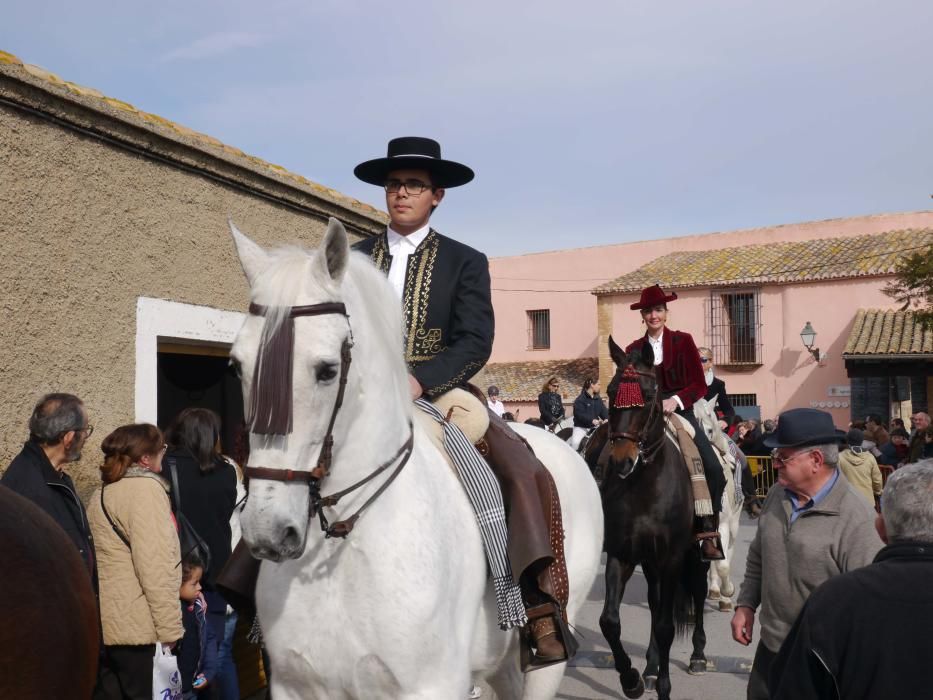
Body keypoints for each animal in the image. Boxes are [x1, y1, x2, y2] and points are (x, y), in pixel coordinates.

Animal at [229, 220, 600, 700]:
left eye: (327, 369)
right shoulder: (295, 685)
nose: (268, 531)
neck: (344, 540)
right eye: (237, 365)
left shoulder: (432, 684)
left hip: (547, 658)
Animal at [592, 338, 708, 700]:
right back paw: (652, 666)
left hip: (698, 553)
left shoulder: (672, 557)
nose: (621, 461)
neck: (645, 486)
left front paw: (665, 688)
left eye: (648, 393)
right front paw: (631, 679)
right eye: (611, 391)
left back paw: (698, 655)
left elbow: (667, 626)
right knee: (656, 603)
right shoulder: (623, 552)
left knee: (698, 593)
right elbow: (609, 622)